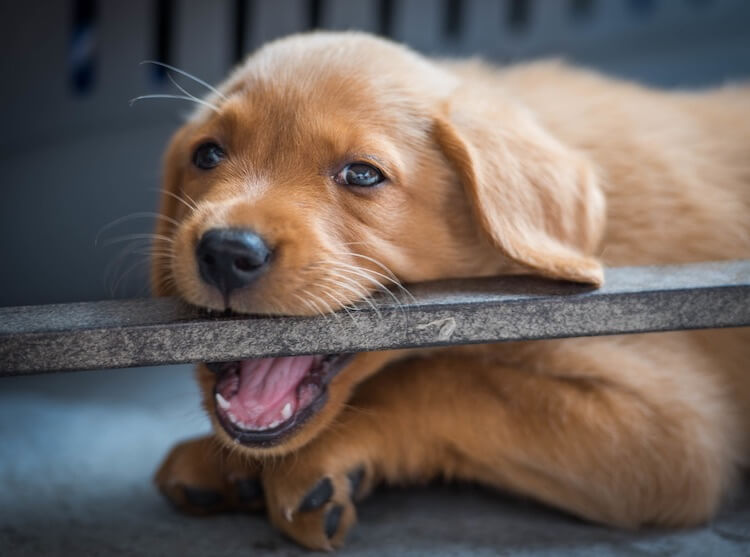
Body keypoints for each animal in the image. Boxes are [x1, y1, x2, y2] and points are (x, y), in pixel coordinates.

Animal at [154, 30, 750, 548]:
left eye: (362, 174)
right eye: (207, 154)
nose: (226, 251)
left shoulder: (675, 431)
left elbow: (436, 376)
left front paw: (305, 464)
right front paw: (226, 460)